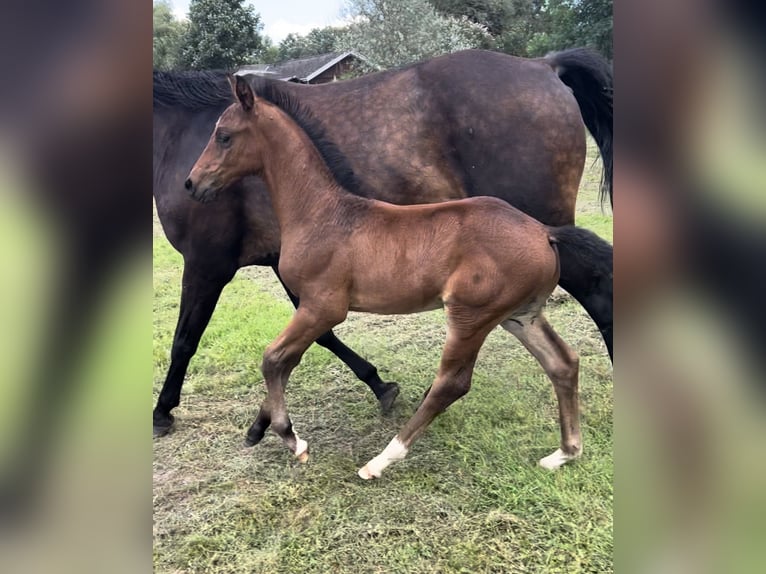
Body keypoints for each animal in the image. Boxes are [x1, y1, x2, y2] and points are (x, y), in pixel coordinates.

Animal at [188, 76, 588, 480]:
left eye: (223, 136)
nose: (192, 183)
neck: (320, 213)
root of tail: (543, 232)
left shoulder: (323, 306)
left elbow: (273, 358)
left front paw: (292, 439)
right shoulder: (313, 310)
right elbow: (285, 362)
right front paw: (260, 428)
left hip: (471, 316)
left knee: (452, 383)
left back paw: (380, 460)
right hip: (519, 315)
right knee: (562, 363)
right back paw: (564, 452)